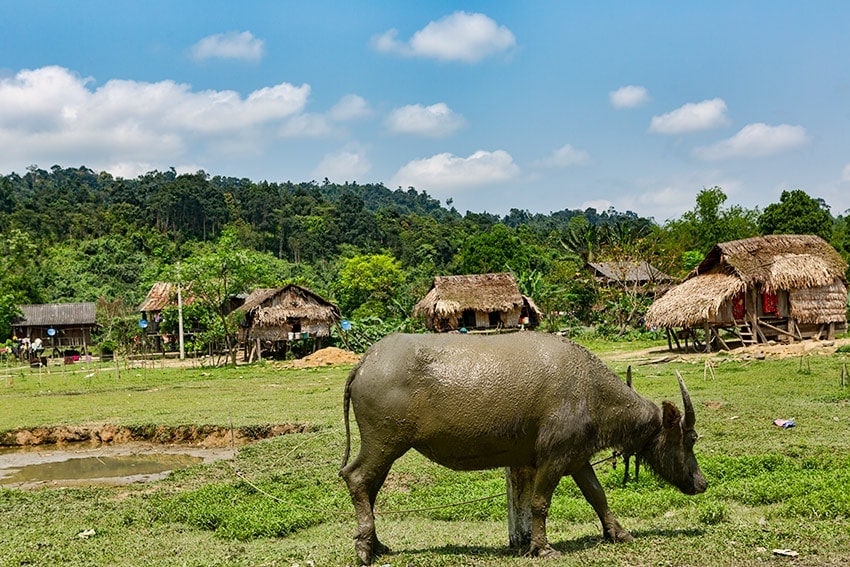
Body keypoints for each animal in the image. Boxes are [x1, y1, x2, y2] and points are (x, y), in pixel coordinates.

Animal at [338, 332, 704, 564]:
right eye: (691, 439)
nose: (701, 483)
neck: (591, 390)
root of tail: (365, 362)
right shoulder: (553, 458)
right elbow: (539, 504)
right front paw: (542, 548)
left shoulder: (577, 458)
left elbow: (598, 496)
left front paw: (619, 532)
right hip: (383, 442)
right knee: (355, 477)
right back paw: (363, 549)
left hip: (386, 447)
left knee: (369, 487)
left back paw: (376, 544)